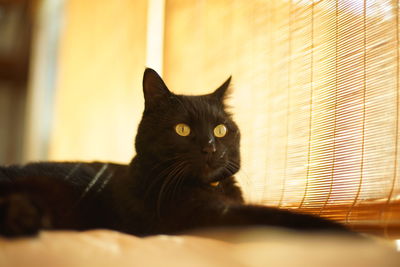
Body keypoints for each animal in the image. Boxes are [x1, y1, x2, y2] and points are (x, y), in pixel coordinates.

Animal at [0, 68, 348, 238]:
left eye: (220, 130)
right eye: (182, 129)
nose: (210, 147)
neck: (214, 189)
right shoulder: (207, 216)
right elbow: (279, 216)